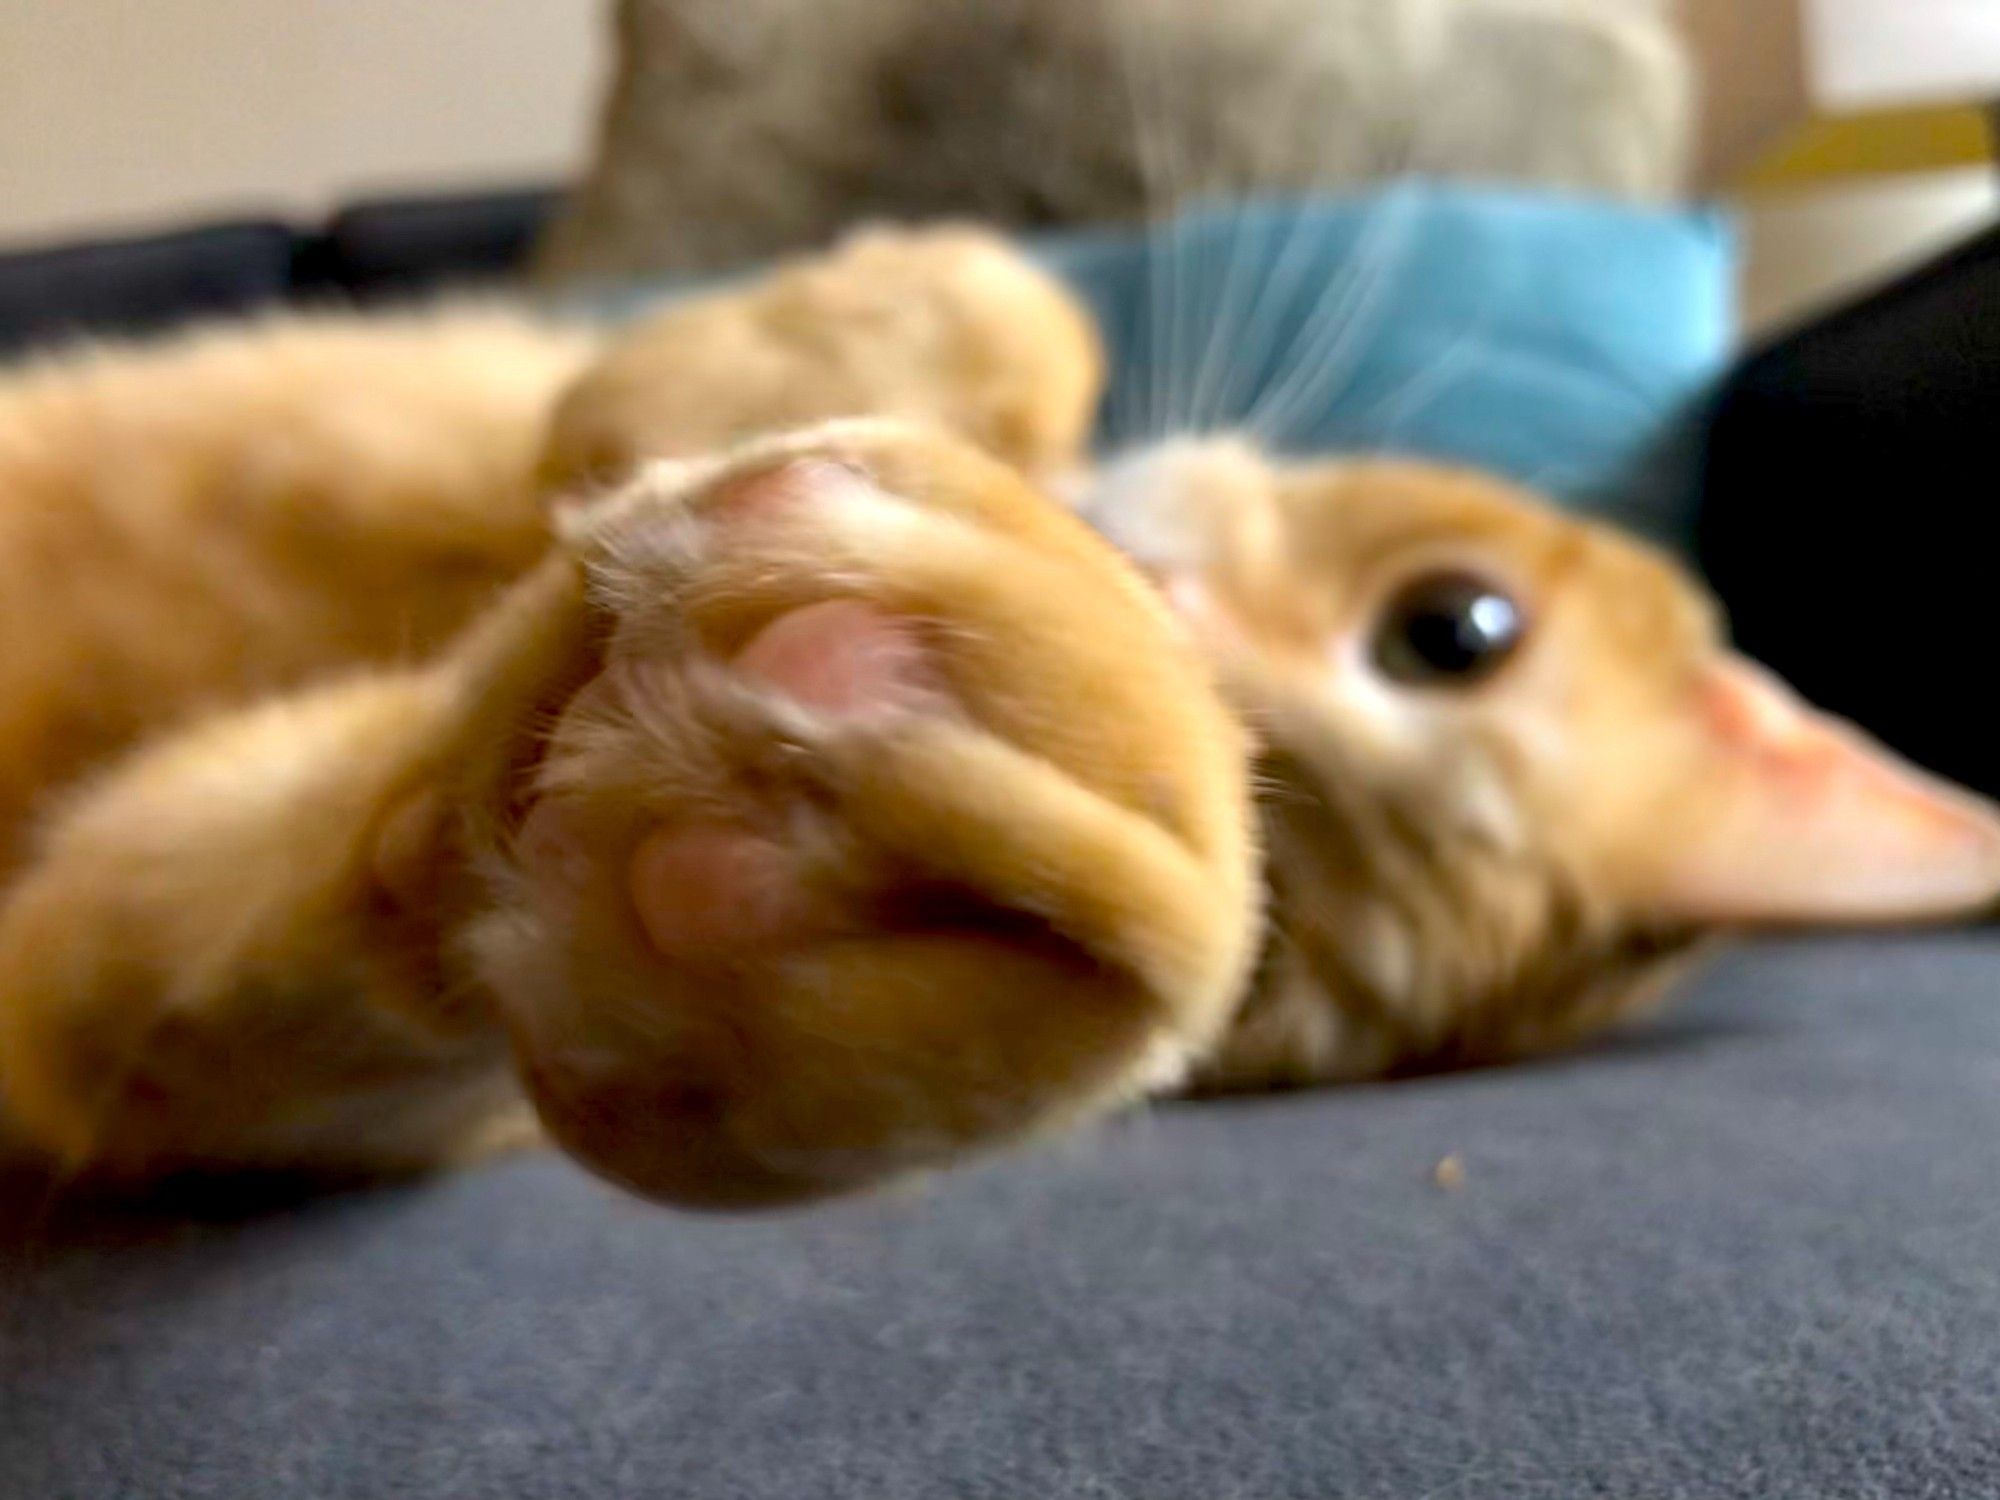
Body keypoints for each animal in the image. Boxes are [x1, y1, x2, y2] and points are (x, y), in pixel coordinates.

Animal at [3, 226, 2000, 1208]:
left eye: (1280, 942)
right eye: (1455, 630)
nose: (1166, 625)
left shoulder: (111, 977)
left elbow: (300, 931)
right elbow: (1025, 305)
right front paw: (703, 381)